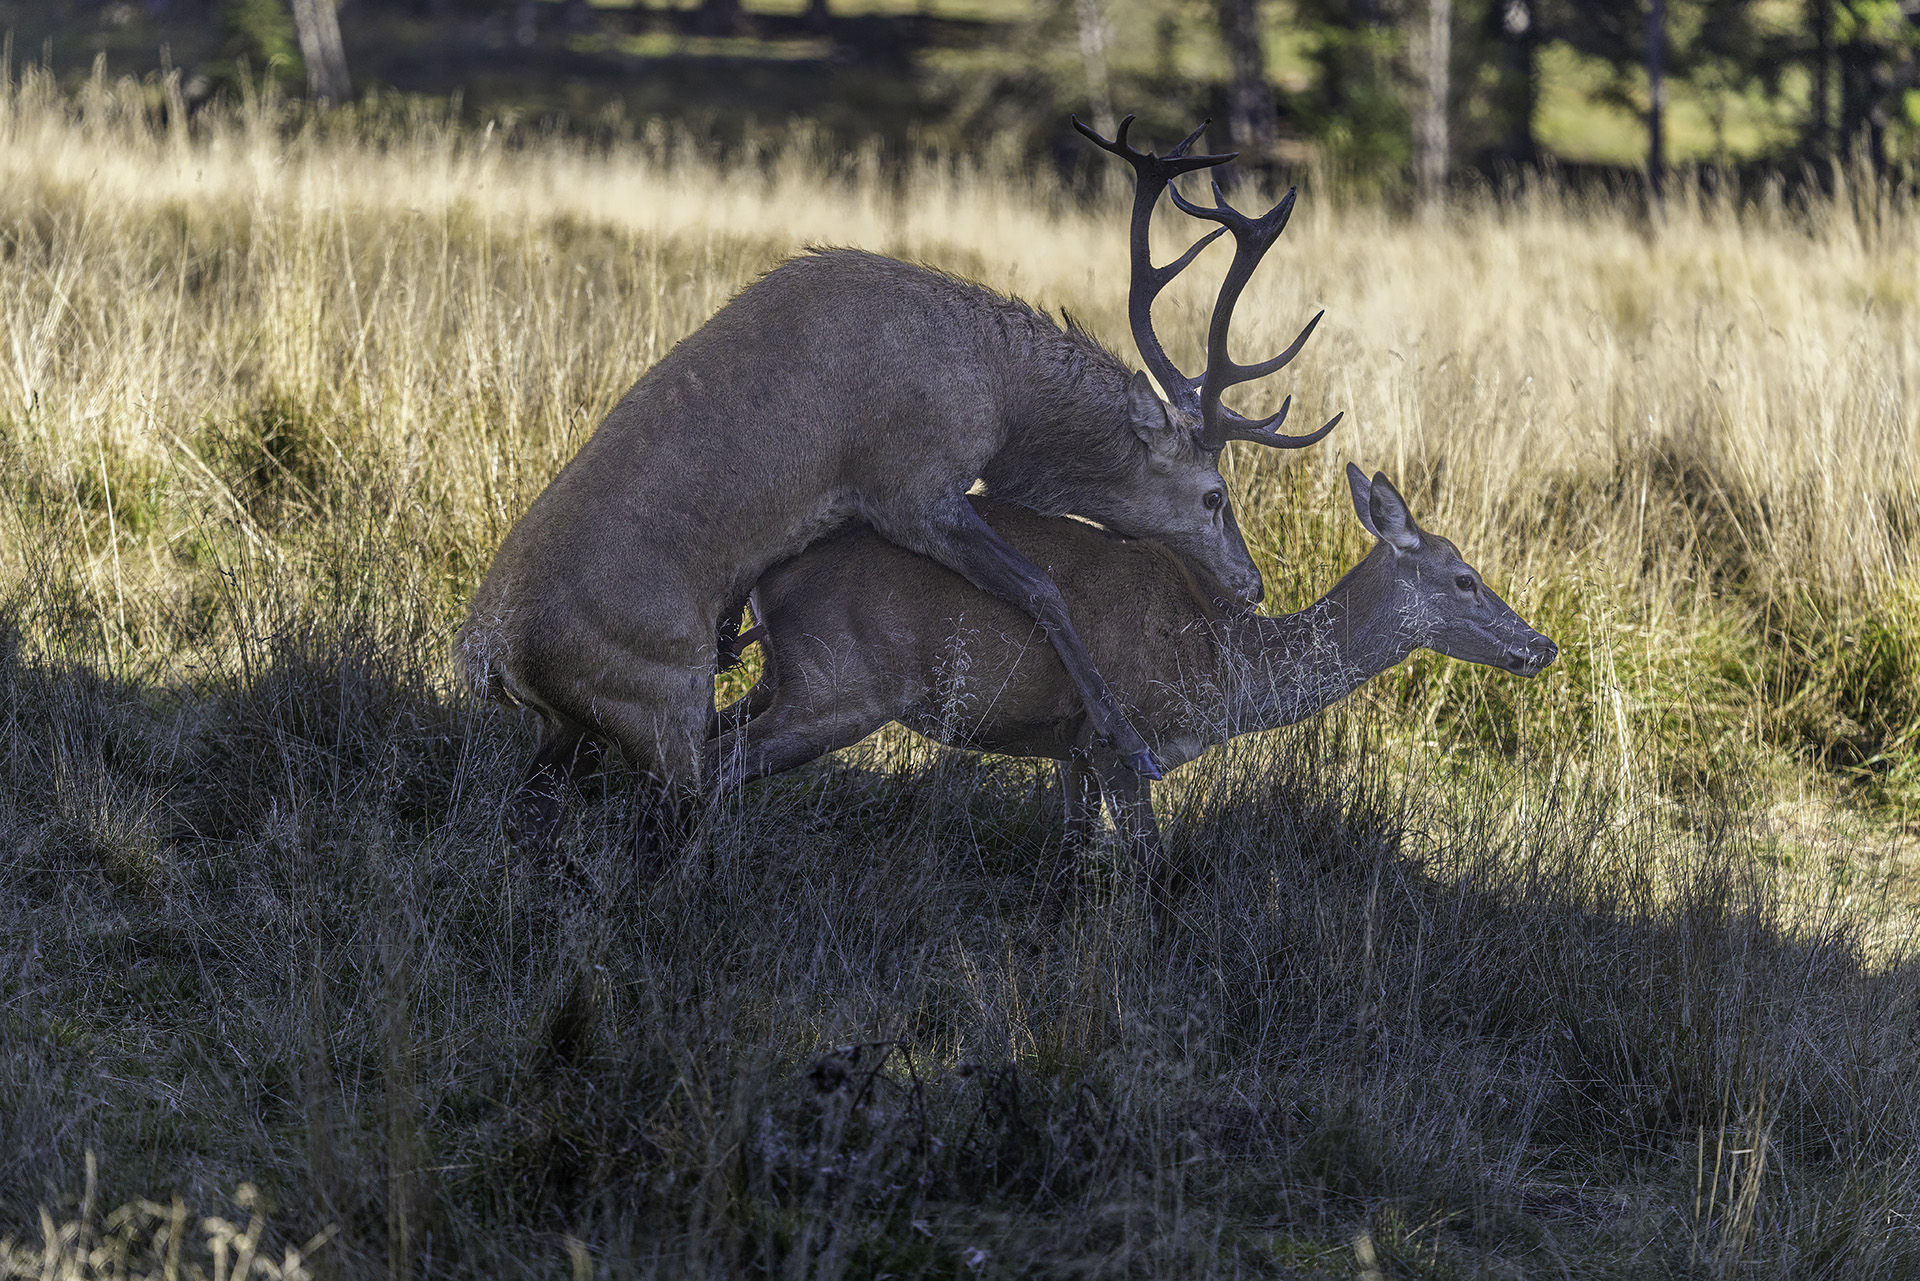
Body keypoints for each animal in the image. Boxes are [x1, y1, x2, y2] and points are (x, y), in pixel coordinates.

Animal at [458, 116, 1341, 856]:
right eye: (1214, 495)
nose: (1254, 584)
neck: (1001, 395)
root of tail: (490, 660)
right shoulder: (913, 485)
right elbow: (1041, 588)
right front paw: (1128, 739)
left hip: (578, 726)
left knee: (535, 803)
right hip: (661, 695)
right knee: (670, 792)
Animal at [707, 465, 1558, 925]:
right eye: (1464, 577)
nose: (1543, 645)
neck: (1222, 665)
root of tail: (764, 575)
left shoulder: (1071, 745)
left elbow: (1069, 858)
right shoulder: (1124, 739)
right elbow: (1151, 868)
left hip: (782, 677)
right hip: (838, 682)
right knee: (715, 766)